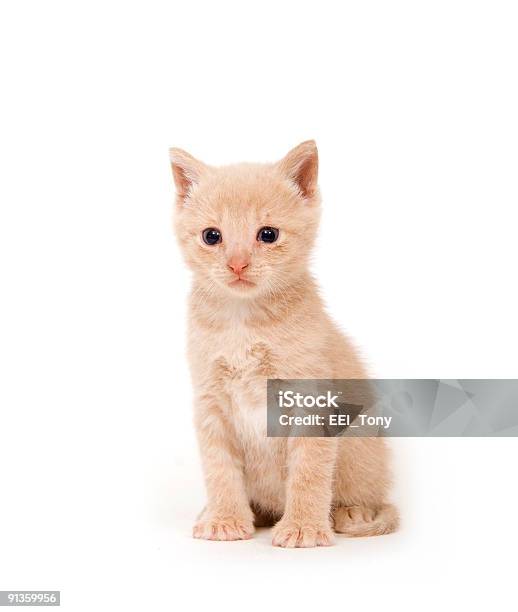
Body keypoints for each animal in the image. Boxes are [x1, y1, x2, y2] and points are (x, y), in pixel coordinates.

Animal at [169, 143, 400, 548]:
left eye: (268, 234)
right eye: (211, 236)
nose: (237, 265)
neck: (244, 321)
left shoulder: (310, 398)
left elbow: (309, 468)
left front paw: (304, 527)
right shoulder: (211, 400)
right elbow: (219, 467)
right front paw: (225, 519)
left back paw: (350, 512)